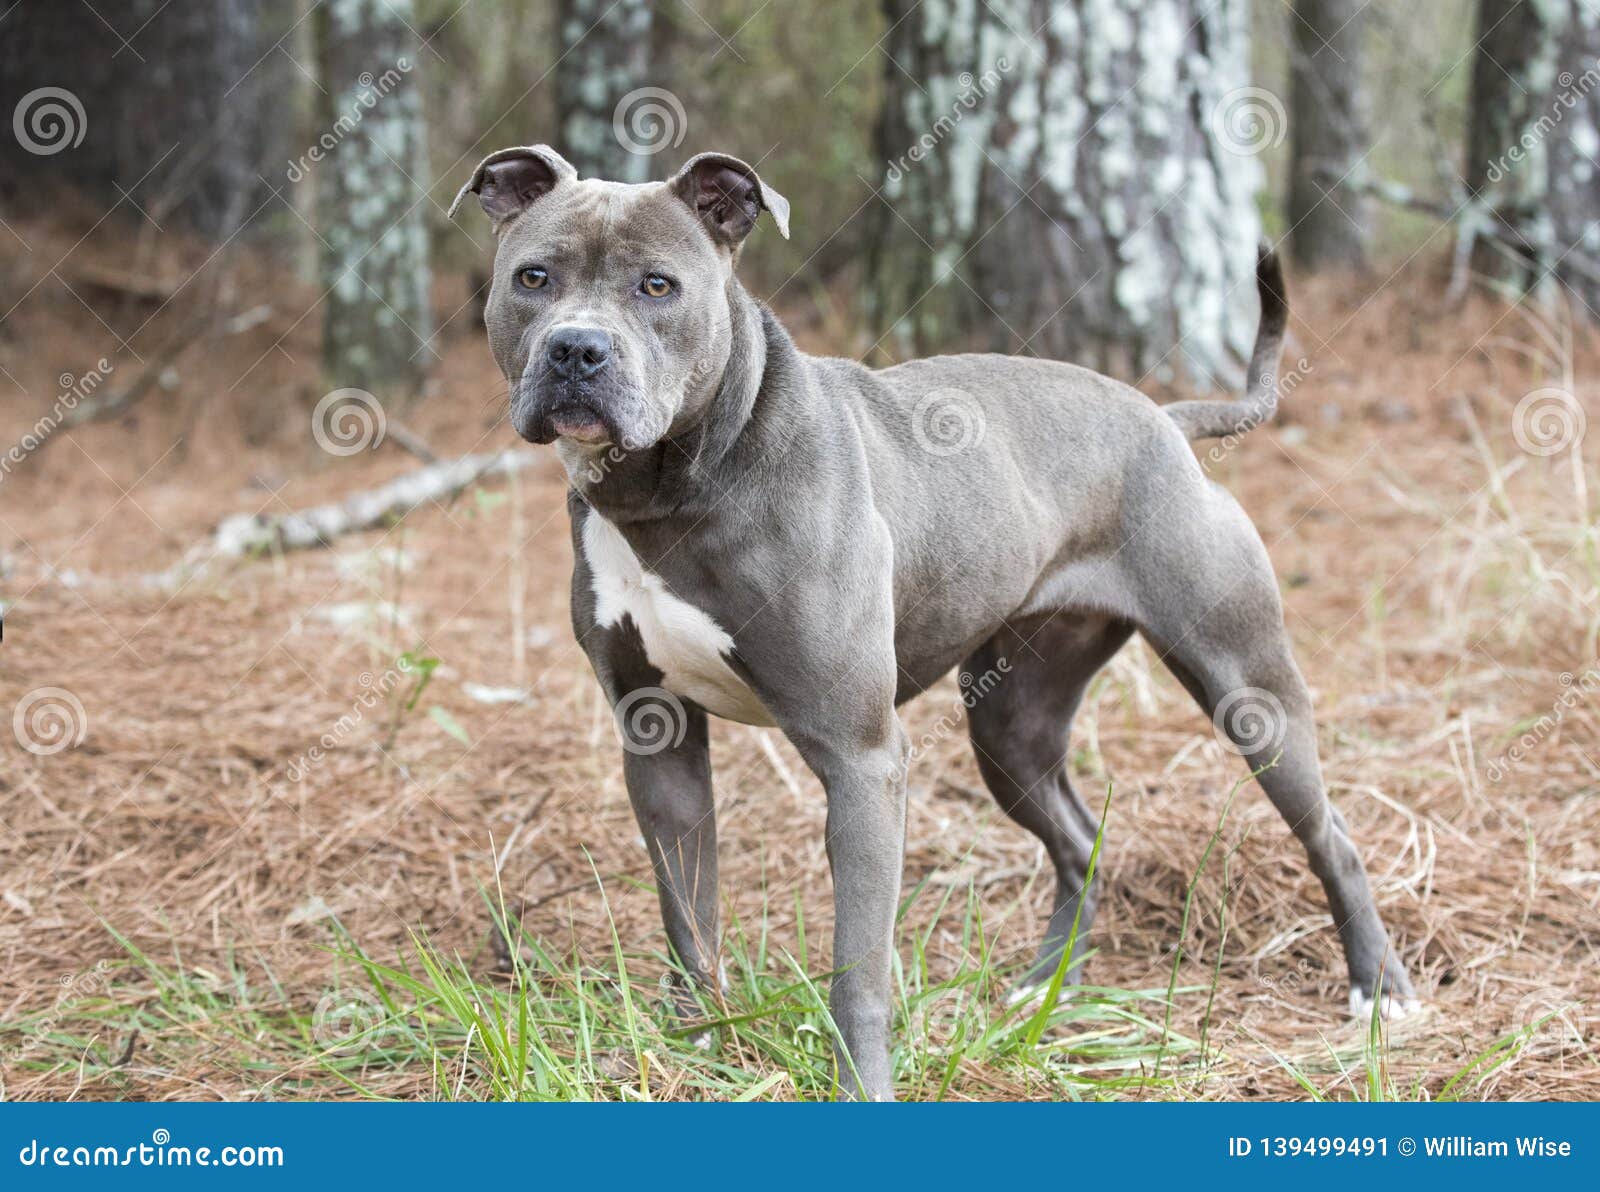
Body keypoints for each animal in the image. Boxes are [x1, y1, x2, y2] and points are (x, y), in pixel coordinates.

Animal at [448, 146, 1414, 1094]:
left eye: (657, 285)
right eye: (533, 277)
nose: (576, 348)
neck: (672, 492)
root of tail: (1164, 419)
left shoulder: (861, 758)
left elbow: (859, 968)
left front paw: (860, 1087)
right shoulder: (659, 741)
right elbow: (691, 918)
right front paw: (699, 1047)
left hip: (1249, 690)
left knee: (1331, 836)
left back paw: (1379, 990)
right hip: (1011, 725)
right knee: (1079, 839)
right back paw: (1043, 990)